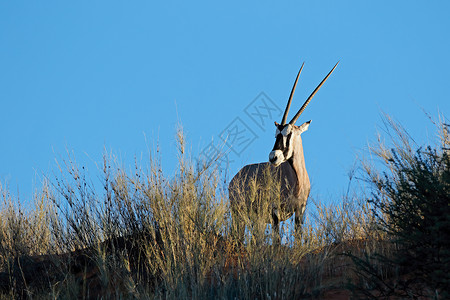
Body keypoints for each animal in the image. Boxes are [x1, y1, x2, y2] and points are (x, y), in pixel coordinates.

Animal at [229, 62, 338, 243]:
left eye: (290, 133)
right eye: (276, 135)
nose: (273, 157)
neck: (296, 179)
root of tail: (236, 177)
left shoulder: (300, 211)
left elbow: (298, 238)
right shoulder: (275, 212)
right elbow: (277, 242)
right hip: (239, 214)